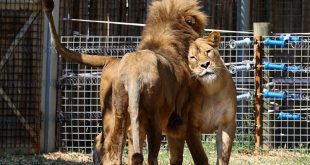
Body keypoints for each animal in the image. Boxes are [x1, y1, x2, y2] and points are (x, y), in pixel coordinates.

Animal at [41, 0, 206, 164]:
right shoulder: (178, 121)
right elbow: (183, 155)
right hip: (153, 120)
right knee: (150, 156)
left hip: (116, 114)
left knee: (109, 147)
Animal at [185, 31, 239, 164]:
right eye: (192, 57)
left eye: (208, 51)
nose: (205, 64)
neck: (211, 90)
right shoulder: (190, 127)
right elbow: (200, 156)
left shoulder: (227, 123)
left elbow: (224, 155)